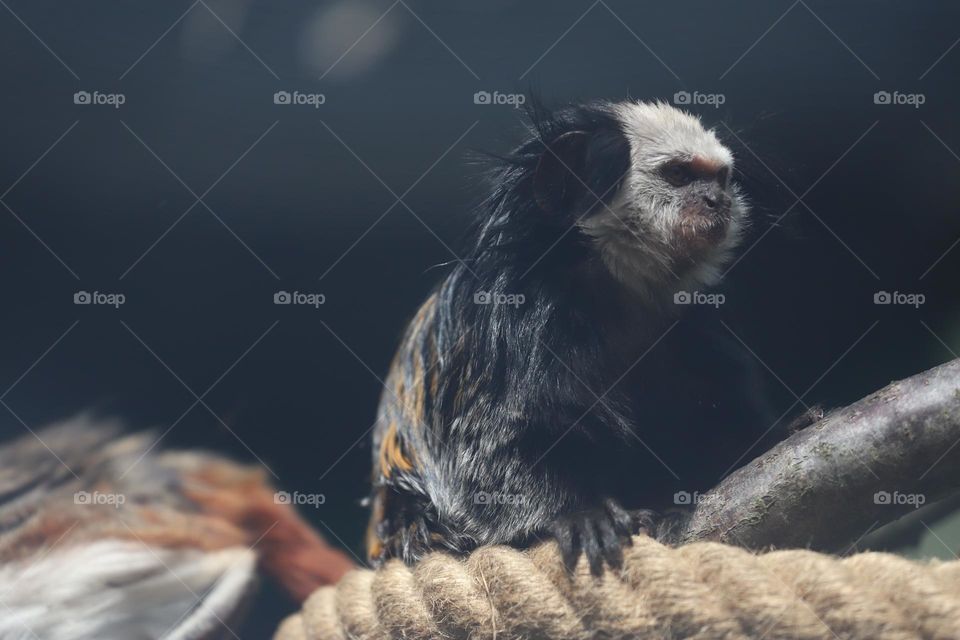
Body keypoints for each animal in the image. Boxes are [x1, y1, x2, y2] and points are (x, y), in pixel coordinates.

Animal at [366, 99, 778, 575]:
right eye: (679, 174)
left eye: (721, 178)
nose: (718, 201)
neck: (611, 288)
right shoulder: (519, 324)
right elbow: (486, 453)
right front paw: (580, 512)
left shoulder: (692, 323)